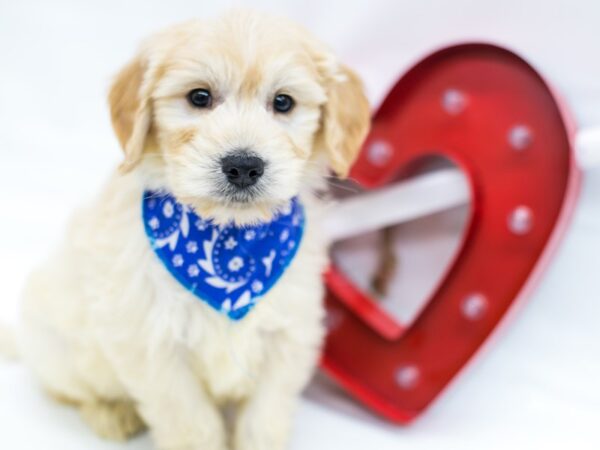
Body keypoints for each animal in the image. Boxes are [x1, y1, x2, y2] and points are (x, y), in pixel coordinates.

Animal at [16, 9, 368, 450]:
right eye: (199, 97)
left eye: (283, 102)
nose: (243, 166)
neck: (229, 235)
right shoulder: (154, 346)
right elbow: (191, 423)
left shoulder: (288, 334)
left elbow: (264, 419)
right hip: (59, 348)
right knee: (71, 390)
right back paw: (111, 413)